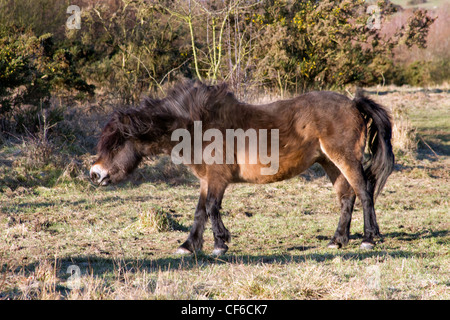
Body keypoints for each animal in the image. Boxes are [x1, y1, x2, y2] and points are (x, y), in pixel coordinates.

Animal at [90, 81, 394, 256]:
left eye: (115, 145)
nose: (95, 174)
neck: (197, 126)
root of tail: (353, 103)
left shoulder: (218, 178)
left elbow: (212, 207)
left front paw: (220, 243)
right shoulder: (206, 180)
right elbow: (200, 211)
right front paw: (188, 245)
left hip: (345, 159)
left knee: (364, 192)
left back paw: (368, 239)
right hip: (330, 163)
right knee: (347, 198)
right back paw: (337, 240)